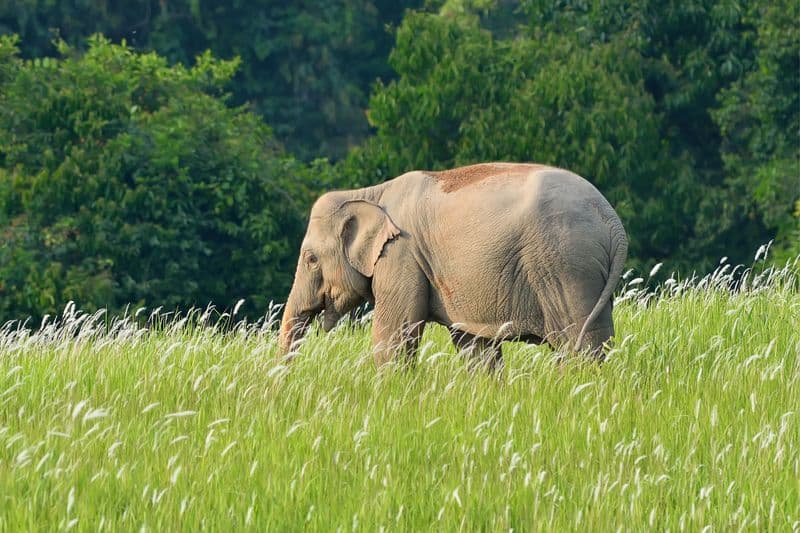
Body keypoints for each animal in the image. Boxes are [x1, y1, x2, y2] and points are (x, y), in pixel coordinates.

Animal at [278, 162, 628, 370]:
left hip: (565, 267)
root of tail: (612, 222)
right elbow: (474, 346)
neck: (370, 193)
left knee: (579, 343)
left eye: (310, 259)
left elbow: (394, 337)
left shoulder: (401, 257)